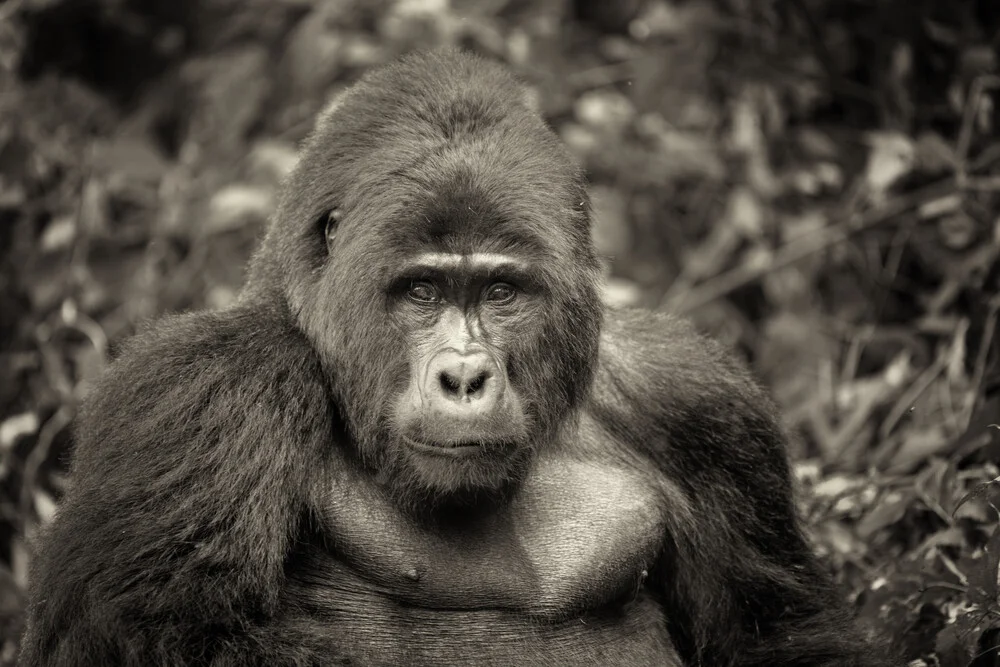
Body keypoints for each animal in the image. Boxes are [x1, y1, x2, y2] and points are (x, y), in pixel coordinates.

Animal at [19, 49, 892, 664]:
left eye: (501, 291)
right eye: (421, 291)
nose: (466, 375)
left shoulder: (699, 402)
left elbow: (780, 637)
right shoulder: (204, 383)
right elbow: (157, 635)